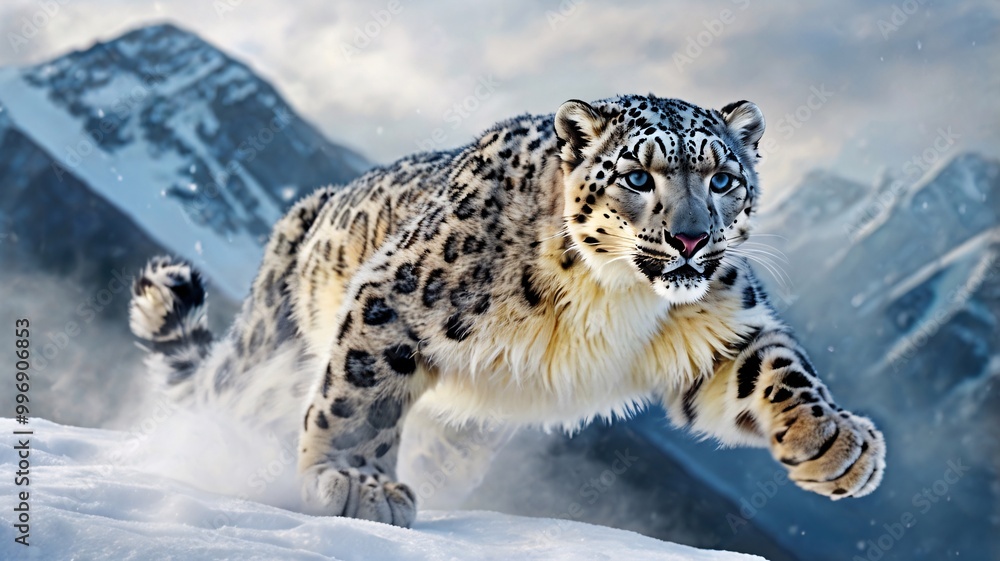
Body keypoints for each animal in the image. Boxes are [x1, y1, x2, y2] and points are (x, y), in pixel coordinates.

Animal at [129, 94, 886, 528]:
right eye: (638, 176)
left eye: (723, 178)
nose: (691, 238)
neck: (619, 297)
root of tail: (311, 205)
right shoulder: (395, 298)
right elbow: (359, 403)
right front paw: (360, 484)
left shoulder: (722, 326)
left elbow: (776, 371)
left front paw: (836, 443)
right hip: (272, 356)